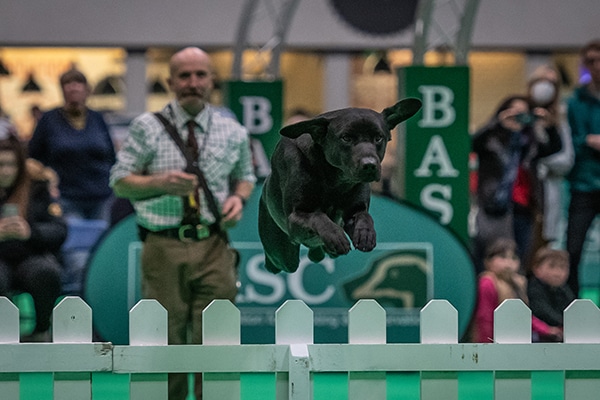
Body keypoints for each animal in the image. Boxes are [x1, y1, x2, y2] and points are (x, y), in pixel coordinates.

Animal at [258, 98, 422, 274]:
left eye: (378, 138)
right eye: (346, 138)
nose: (370, 165)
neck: (335, 179)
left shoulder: (354, 210)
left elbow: (364, 216)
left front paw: (365, 234)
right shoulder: (296, 217)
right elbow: (318, 216)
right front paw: (336, 236)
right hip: (282, 255)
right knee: (278, 264)